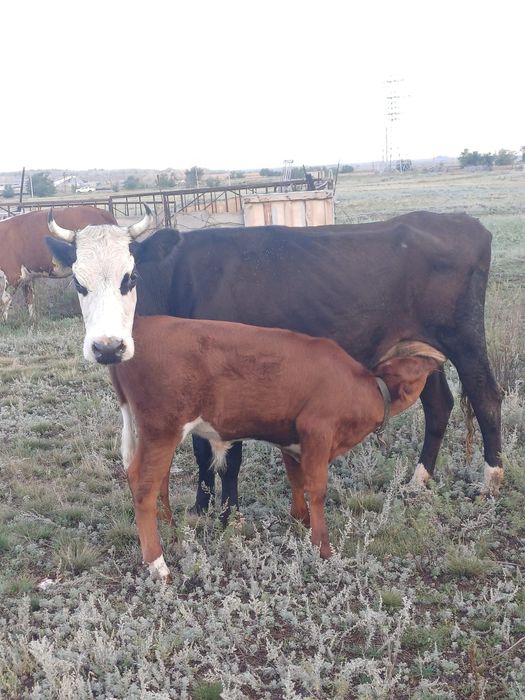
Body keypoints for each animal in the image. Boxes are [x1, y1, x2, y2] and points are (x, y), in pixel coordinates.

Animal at [45, 209, 503, 509]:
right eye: (78, 283)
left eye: (131, 277)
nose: (108, 347)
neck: (179, 279)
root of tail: (462, 221)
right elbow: (201, 448)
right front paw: (202, 509)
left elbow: (228, 453)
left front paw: (228, 512)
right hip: (420, 348)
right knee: (439, 404)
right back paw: (417, 481)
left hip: (465, 340)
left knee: (486, 397)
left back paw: (490, 481)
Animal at [108, 316, 446, 579]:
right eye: (417, 364)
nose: (439, 361)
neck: (361, 390)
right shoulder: (317, 430)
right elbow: (318, 489)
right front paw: (323, 547)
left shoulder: (293, 440)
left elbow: (297, 481)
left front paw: (301, 522)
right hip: (161, 430)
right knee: (144, 486)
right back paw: (158, 565)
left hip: (155, 434)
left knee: (156, 482)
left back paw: (174, 534)